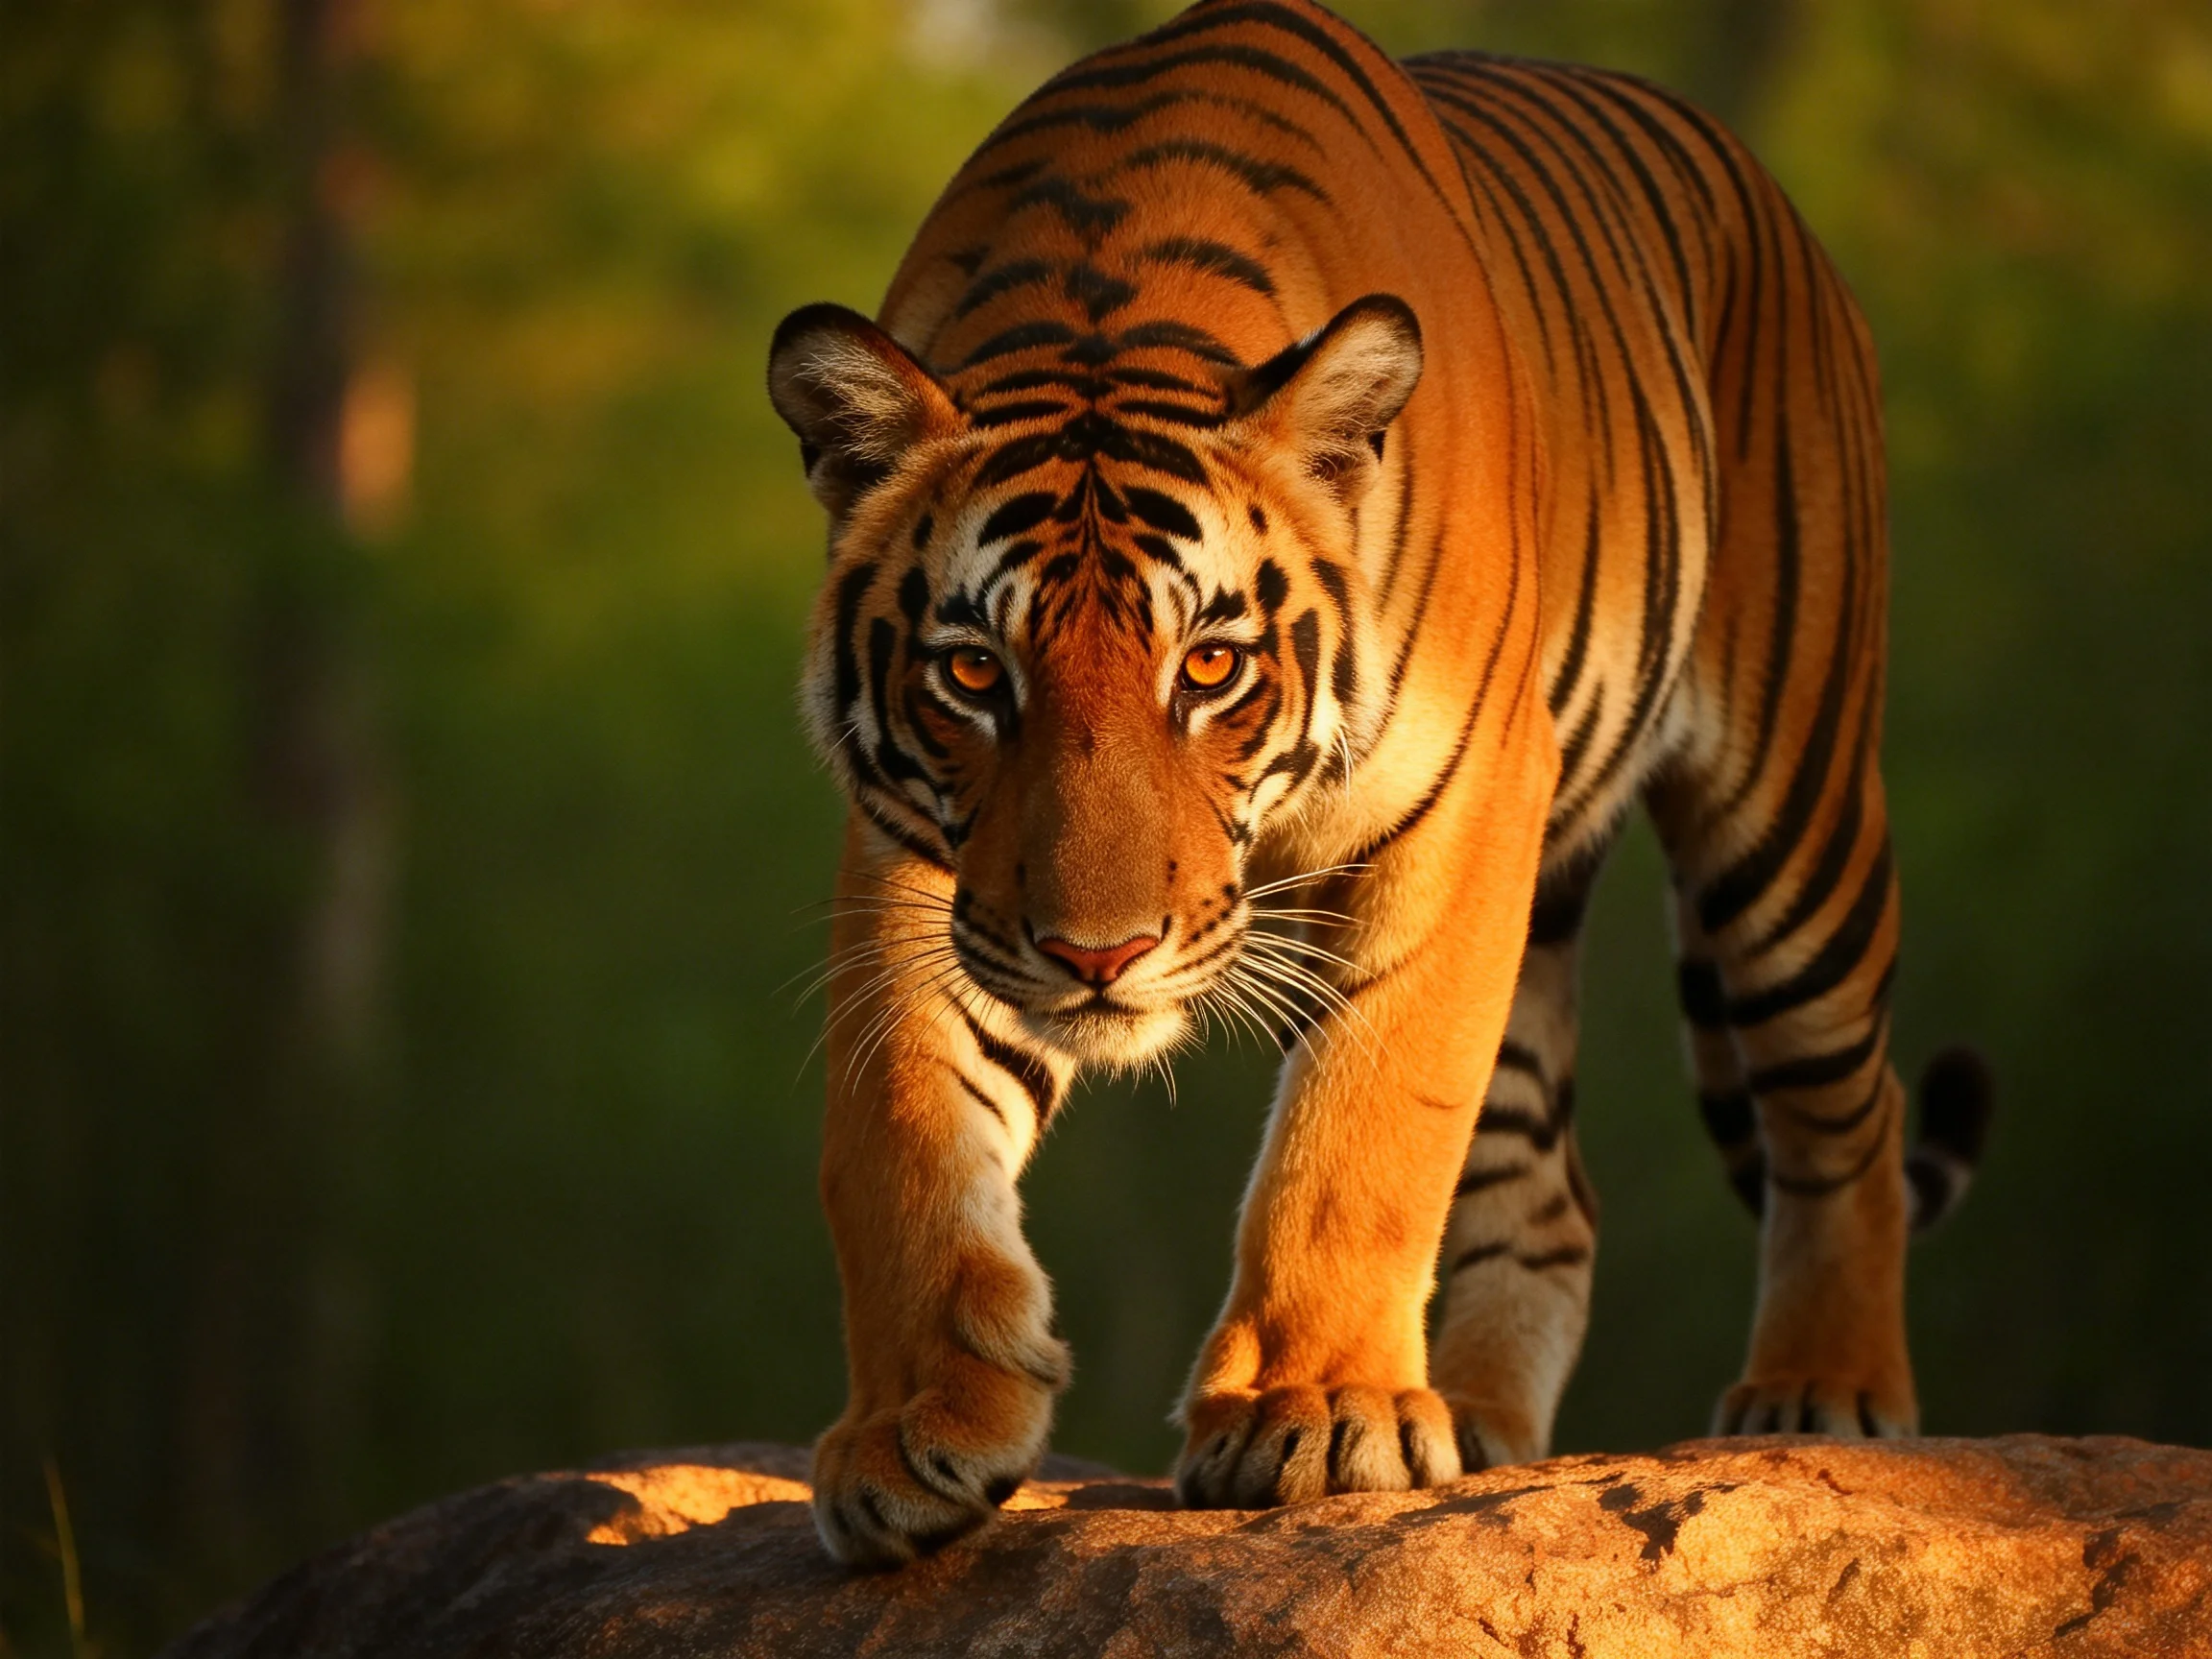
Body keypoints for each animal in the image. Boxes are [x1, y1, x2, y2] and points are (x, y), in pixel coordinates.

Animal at [765, 0, 1991, 1568]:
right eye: (976, 674)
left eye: (1211, 666)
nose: (1101, 955)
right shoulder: (933, 859)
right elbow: (897, 1132)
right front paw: (916, 1430)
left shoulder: (1464, 804)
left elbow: (1366, 1120)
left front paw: (1315, 1414)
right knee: (1553, 1192)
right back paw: (1471, 1426)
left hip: (1791, 809)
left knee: (1848, 1111)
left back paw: (1819, 1391)